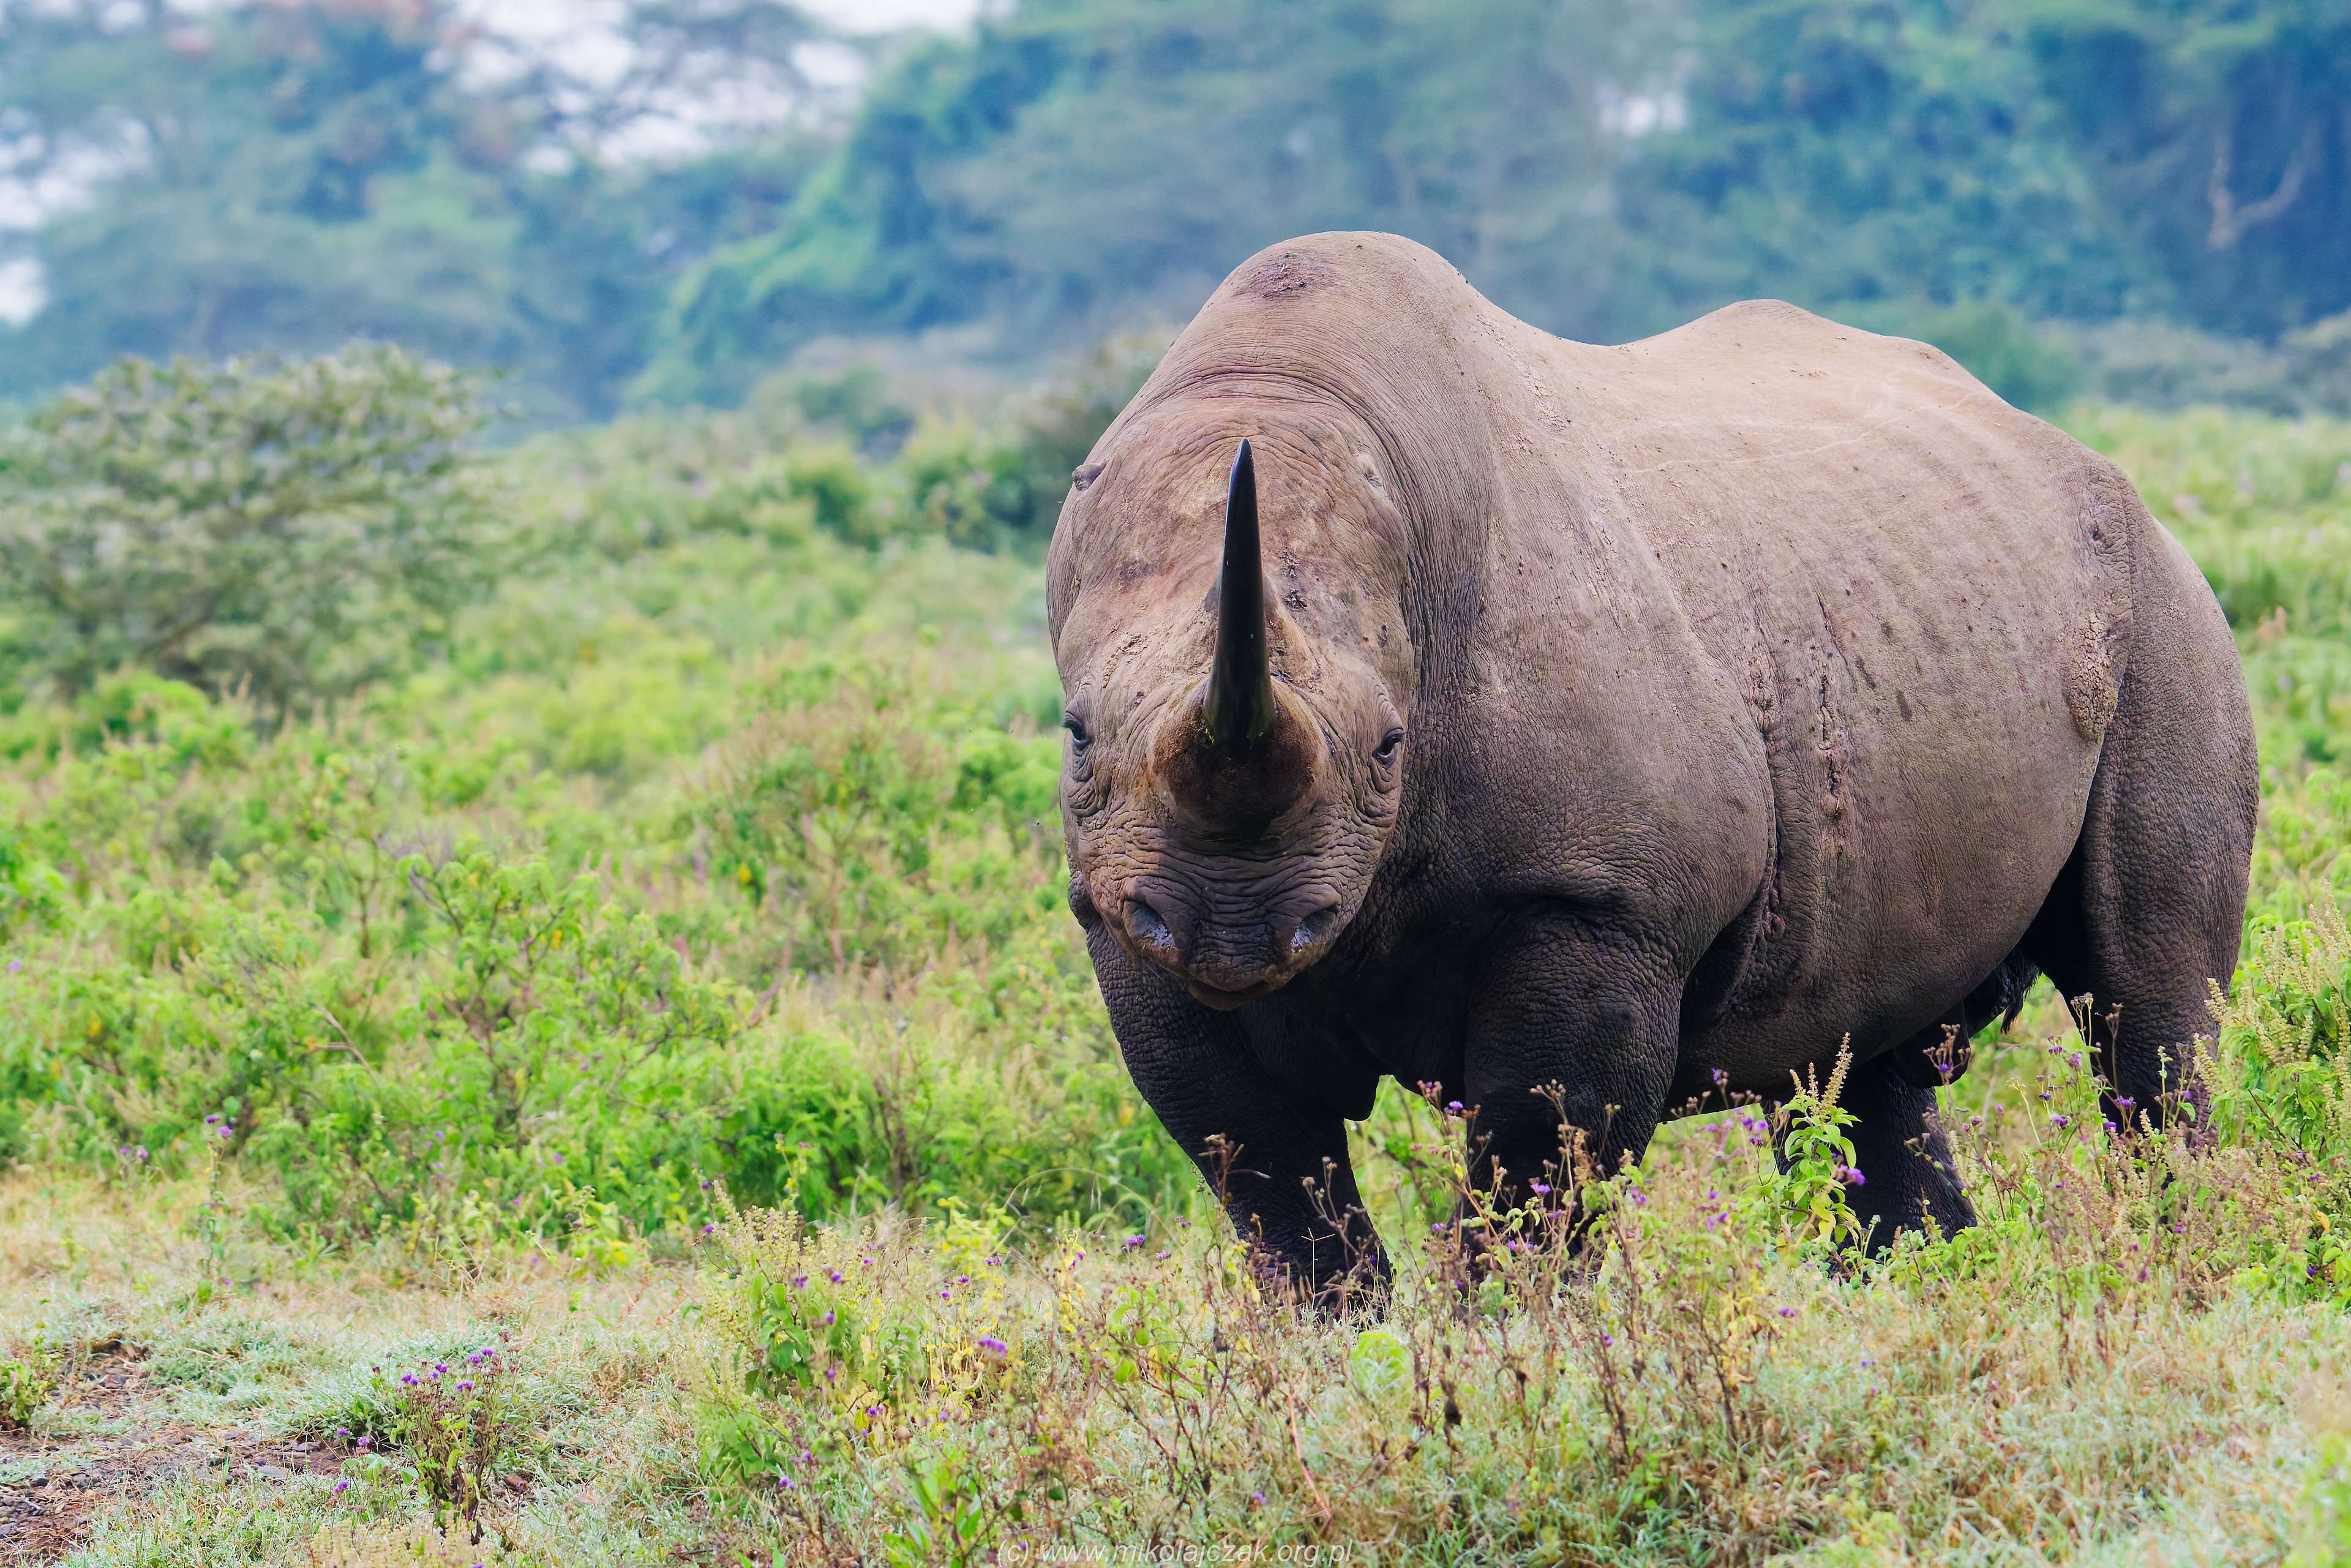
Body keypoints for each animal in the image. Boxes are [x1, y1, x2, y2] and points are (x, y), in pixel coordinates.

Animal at [1046, 232, 2256, 1293]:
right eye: (1075, 733)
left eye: (1393, 746)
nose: (1232, 927)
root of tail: (2069, 448)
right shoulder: (1122, 916)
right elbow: (1270, 1180)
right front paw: (1343, 1363)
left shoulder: (1601, 901)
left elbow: (1537, 1170)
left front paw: (1505, 1357)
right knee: (1862, 1065)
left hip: (2159, 600)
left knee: (2146, 1007)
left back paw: (2180, 1269)